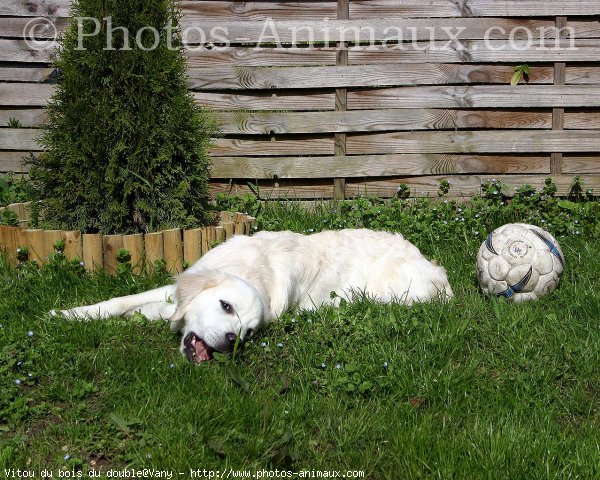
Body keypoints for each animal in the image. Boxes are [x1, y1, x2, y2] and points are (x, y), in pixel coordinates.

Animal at [54, 231, 452, 362]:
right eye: (225, 305)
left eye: (248, 333)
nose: (232, 341)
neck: (252, 269)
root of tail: (439, 274)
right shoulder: (181, 280)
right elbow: (123, 301)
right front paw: (68, 313)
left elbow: (155, 311)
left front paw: (143, 316)